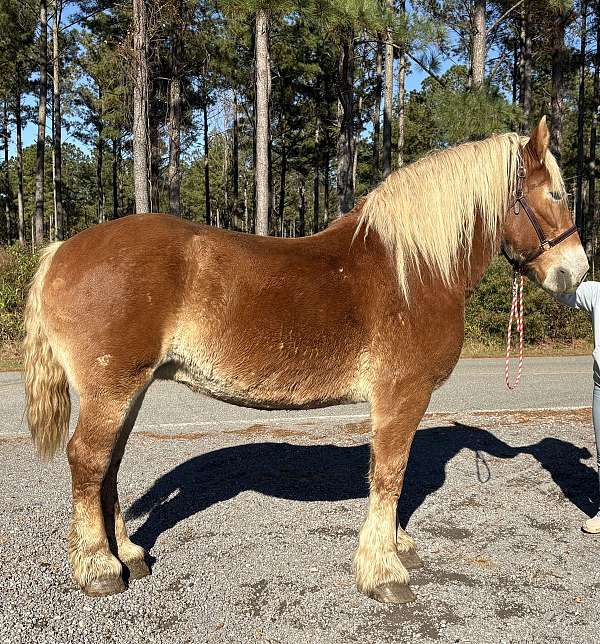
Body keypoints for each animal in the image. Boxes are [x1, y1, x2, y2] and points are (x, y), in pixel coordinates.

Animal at [23, 117, 588, 603]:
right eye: (556, 194)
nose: (576, 272)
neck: (414, 267)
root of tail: (61, 251)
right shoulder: (402, 394)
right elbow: (390, 473)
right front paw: (384, 571)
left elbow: (392, 476)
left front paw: (397, 546)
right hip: (113, 387)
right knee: (89, 459)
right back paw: (99, 568)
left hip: (129, 389)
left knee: (109, 464)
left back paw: (129, 554)